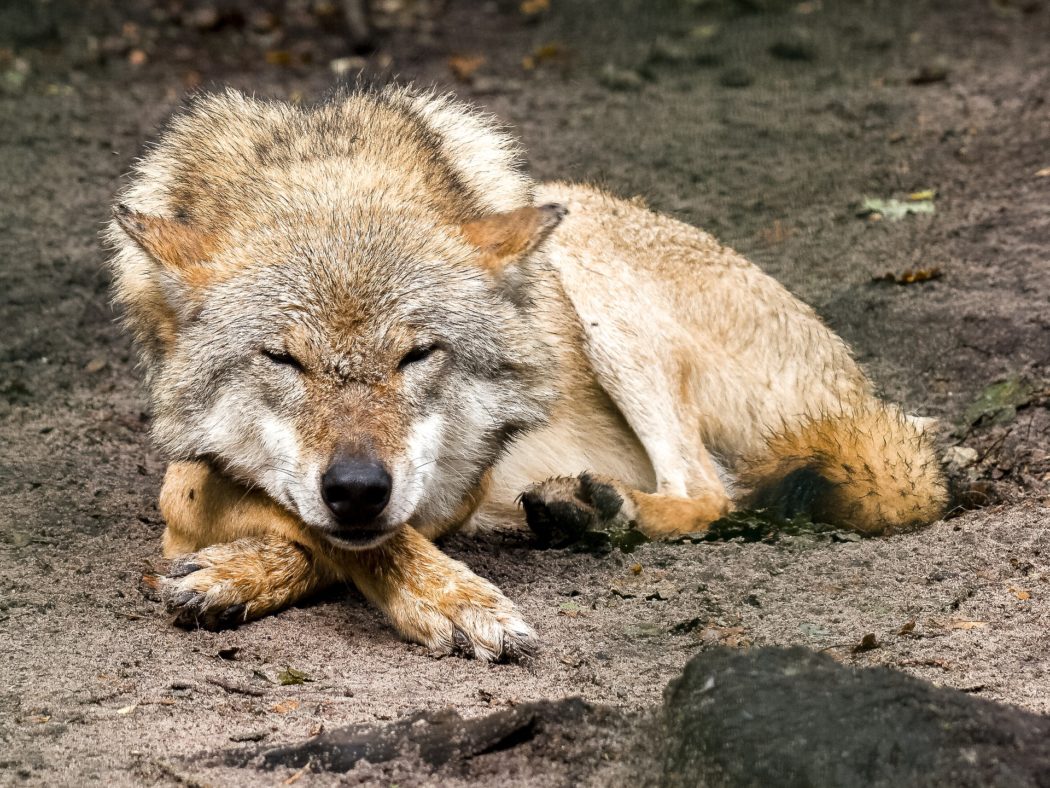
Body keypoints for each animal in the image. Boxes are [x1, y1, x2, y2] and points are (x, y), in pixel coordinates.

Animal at [106, 86, 948, 661]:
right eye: (283, 359)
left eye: (418, 355)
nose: (356, 488)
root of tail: (859, 389)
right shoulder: (194, 476)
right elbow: (284, 518)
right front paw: (235, 574)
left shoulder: (447, 488)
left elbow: (373, 541)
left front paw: (452, 600)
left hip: (593, 289)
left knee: (711, 491)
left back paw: (598, 512)